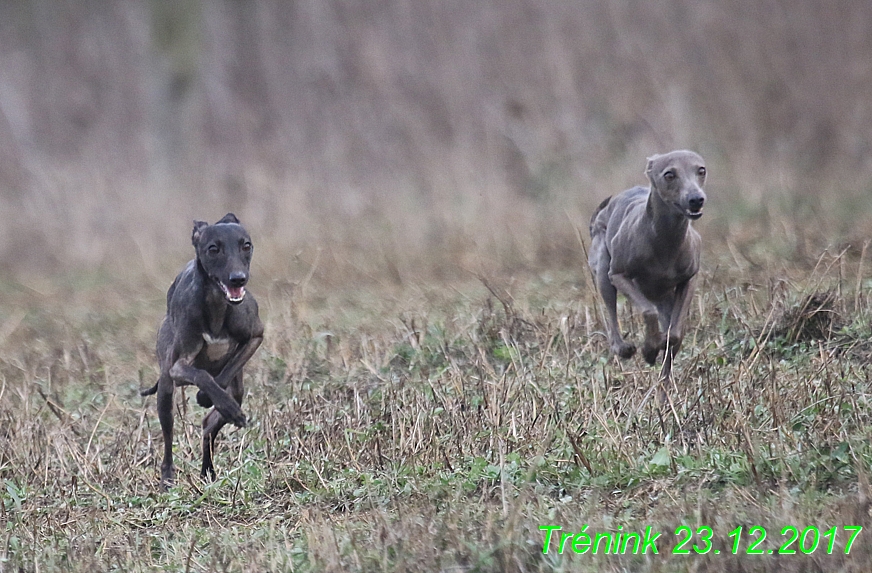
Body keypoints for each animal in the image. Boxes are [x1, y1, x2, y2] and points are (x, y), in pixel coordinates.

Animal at [141, 212, 264, 490]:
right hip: (165, 389)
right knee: (168, 436)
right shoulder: (178, 365)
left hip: (237, 388)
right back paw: (168, 478)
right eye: (213, 249)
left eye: (246, 245)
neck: (218, 305)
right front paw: (215, 400)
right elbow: (202, 375)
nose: (238, 278)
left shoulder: (255, 337)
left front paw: (210, 399)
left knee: (209, 424)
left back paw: (208, 470)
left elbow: (225, 373)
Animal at [588, 150, 704, 378]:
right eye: (669, 174)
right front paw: (649, 349)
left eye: (701, 170)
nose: (696, 199)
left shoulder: (689, 278)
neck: (664, 241)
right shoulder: (618, 275)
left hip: (663, 297)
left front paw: (658, 345)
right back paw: (623, 348)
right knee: (612, 316)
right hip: (604, 269)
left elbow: (674, 334)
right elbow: (648, 312)